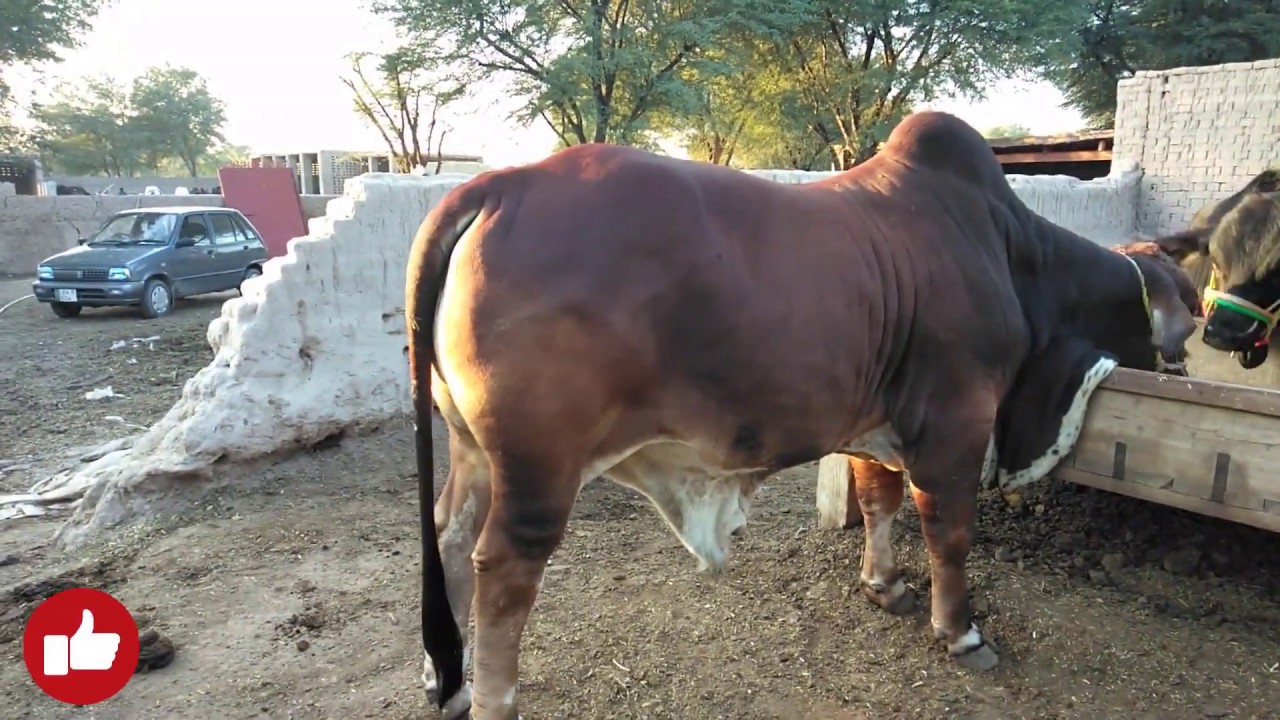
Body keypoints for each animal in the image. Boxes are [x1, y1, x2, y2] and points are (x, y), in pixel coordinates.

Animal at [404, 111, 1198, 719]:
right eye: (1186, 315)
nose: (1189, 361)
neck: (1013, 257)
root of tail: (499, 184)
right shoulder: (957, 420)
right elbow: (950, 533)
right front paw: (961, 631)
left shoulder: (873, 423)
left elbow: (880, 503)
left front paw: (885, 586)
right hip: (540, 467)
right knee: (502, 566)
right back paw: (495, 700)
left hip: (472, 448)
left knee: (448, 534)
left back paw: (446, 678)